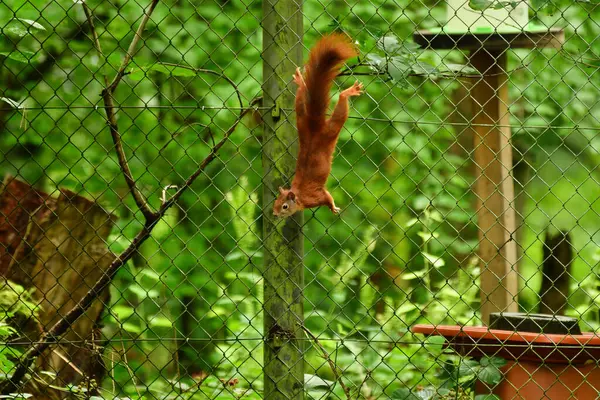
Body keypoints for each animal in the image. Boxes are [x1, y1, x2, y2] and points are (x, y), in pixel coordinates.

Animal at [274, 32, 364, 217]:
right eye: (275, 202)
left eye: (284, 206)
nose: (274, 214)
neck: (299, 196)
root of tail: (314, 125)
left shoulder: (316, 196)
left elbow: (327, 197)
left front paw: (333, 207)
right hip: (301, 120)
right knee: (300, 100)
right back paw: (300, 82)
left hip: (330, 130)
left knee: (340, 111)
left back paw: (348, 92)